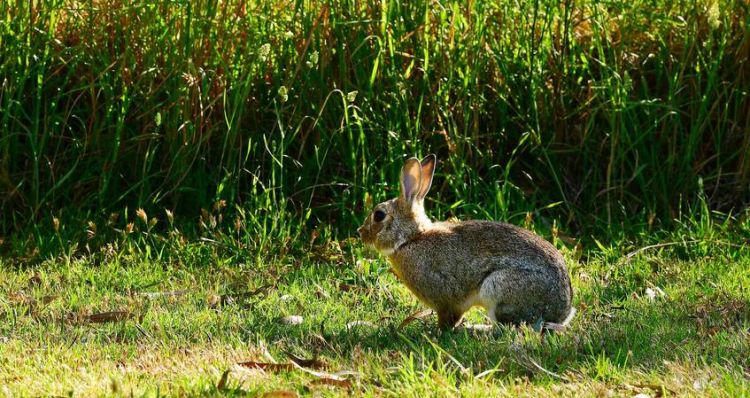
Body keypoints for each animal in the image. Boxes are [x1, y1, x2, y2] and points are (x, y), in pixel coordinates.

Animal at [358, 155, 576, 330]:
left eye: (379, 215)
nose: (360, 233)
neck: (410, 239)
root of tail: (563, 311)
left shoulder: (445, 300)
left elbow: (447, 318)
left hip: (498, 288)